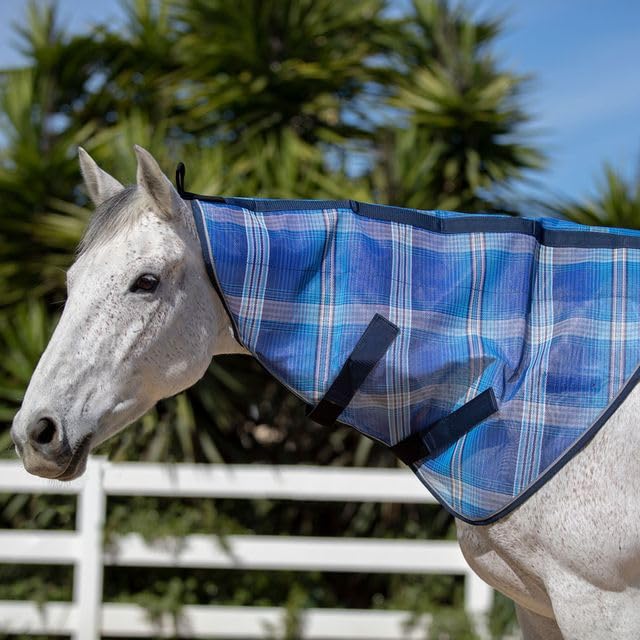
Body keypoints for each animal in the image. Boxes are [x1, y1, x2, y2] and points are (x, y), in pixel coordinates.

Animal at [10, 147, 640, 639]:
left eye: (146, 282)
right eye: (71, 283)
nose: (34, 433)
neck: (523, 356)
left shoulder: (600, 604)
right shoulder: (538, 608)